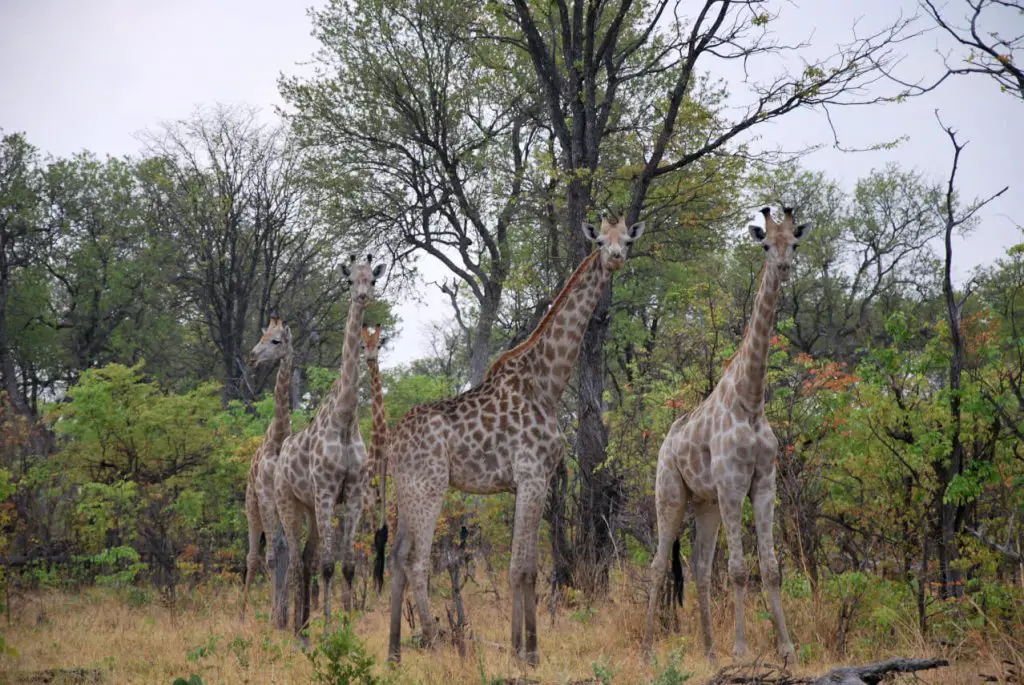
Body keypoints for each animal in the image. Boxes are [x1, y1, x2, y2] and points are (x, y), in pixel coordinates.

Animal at [272, 253, 385, 634]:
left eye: (373, 279)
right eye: (350, 280)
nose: (363, 296)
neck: (346, 419)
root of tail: (280, 453)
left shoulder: (353, 493)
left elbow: (347, 564)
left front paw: (347, 625)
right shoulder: (325, 491)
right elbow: (327, 565)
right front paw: (328, 629)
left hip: (309, 507)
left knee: (306, 557)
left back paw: (304, 623)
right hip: (288, 503)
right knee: (295, 560)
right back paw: (294, 629)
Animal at [387, 215, 643, 663]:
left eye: (627, 240)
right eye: (599, 241)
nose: (615, 258)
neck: (548, 383)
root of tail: (391, 442)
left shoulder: (531, 480)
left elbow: (524, 565)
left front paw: (519, 646)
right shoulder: (533, 475)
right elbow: (523, 566)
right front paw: (528, 652)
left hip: (407, 489)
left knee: (398, 557)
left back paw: (394, 653)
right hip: (430, 486)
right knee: (417, 560)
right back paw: (435, 641)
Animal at [643, 205, 811, 659]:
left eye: (794, 242)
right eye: (766, 244)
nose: (784, 267)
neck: (750, 402)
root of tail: (664, 444)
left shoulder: (764, 484)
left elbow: (770, 569)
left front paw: (787, 649)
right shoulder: (734, 485)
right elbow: (737, 570)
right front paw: (742, 650)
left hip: (706, 504)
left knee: (700, 567)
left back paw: (708, 650)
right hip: (671, 494)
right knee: (659, 564)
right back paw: (648, 646)